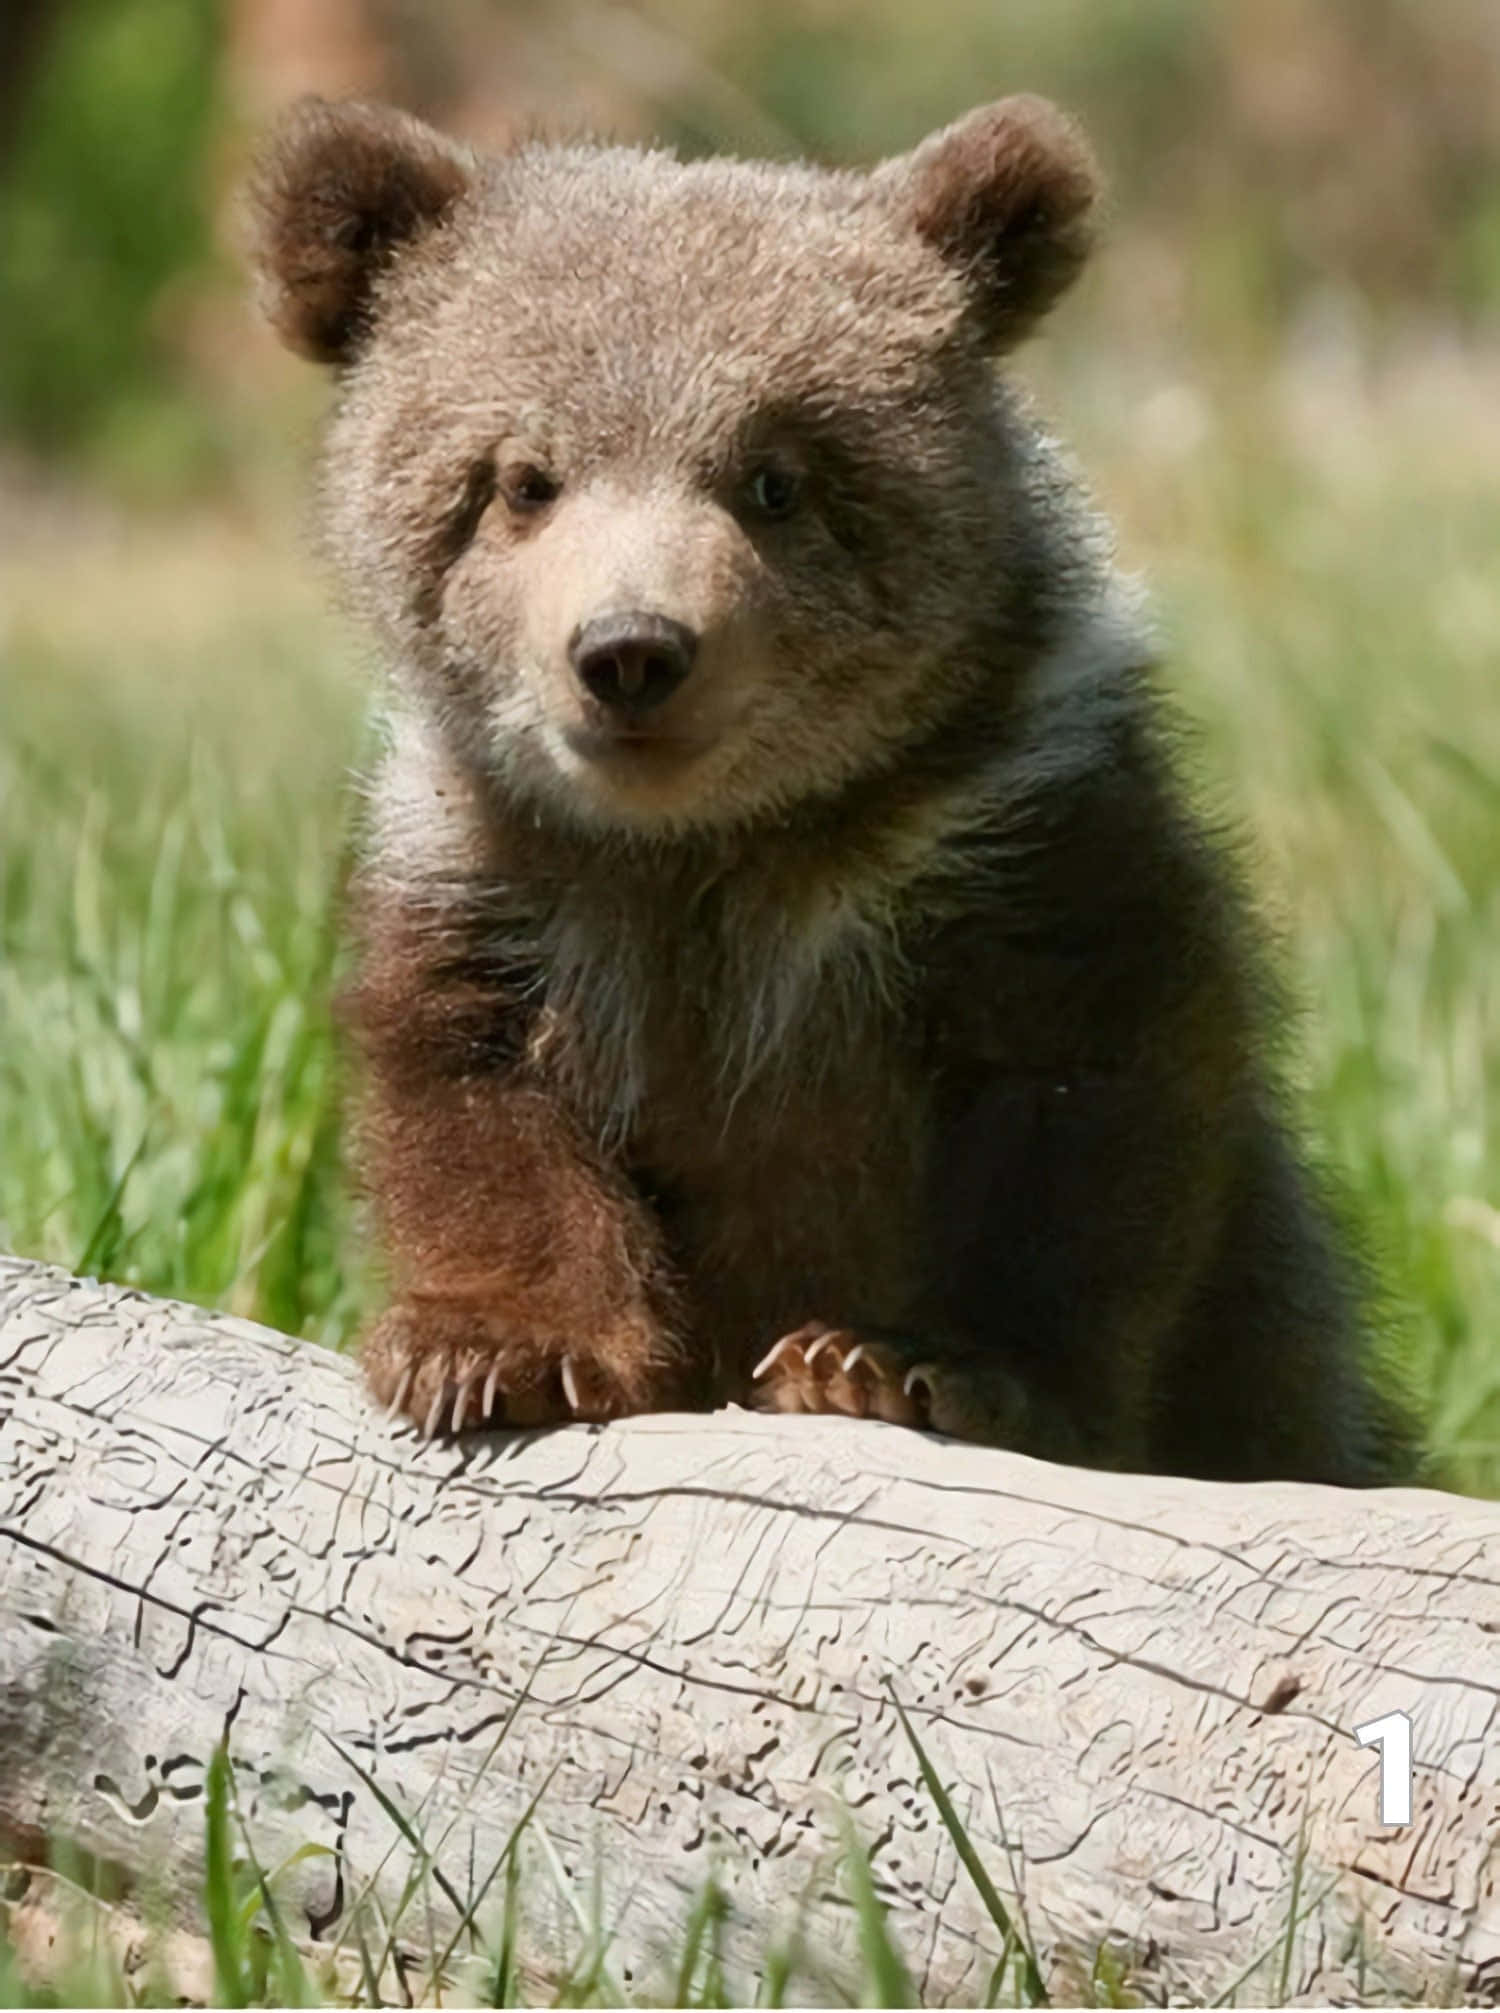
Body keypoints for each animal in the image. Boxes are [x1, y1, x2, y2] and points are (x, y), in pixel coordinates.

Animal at [246, 92, 1420, 1482]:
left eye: (775, 477)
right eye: (523, 480)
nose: (631, 651)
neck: (718, 843)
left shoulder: (1008, 842)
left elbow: (1082, 1111)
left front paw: (903, 1365)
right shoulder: (501, 871)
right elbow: (472, 1093)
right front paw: (494, 1349)